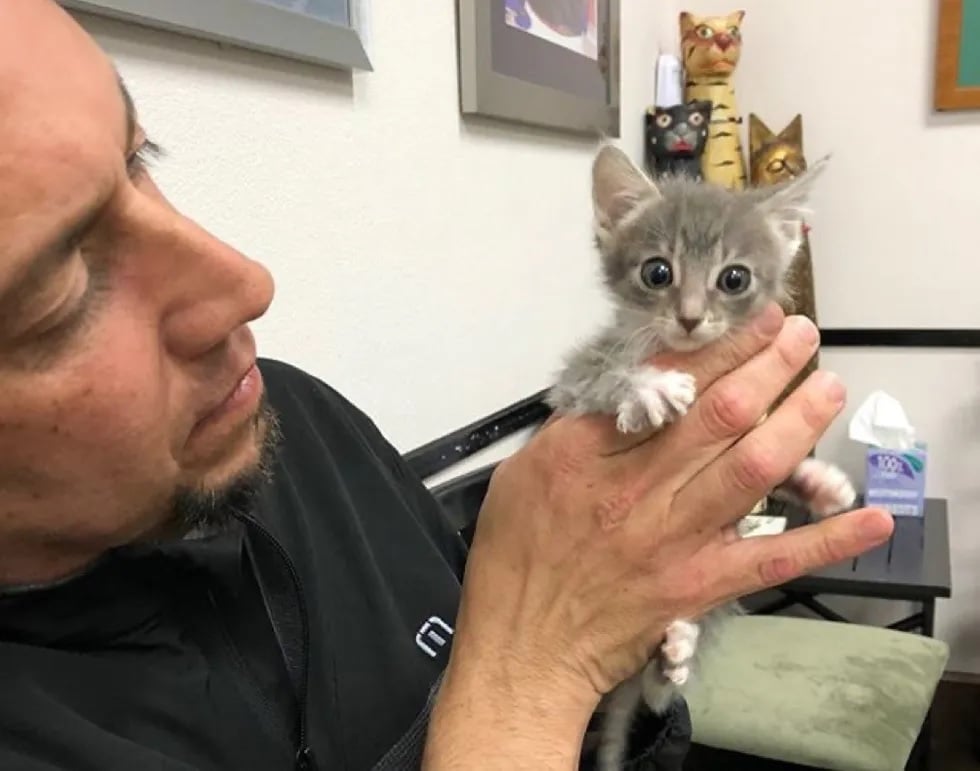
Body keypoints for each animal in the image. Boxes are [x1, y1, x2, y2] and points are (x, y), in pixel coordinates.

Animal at [548, 145, 852, 771]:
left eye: (733, 278)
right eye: (657, 272)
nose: (689, 317)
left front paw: (816, 483)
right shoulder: (569, 387)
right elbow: (601, 376)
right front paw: (645, 387)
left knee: (657, 695)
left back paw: (675, 653)